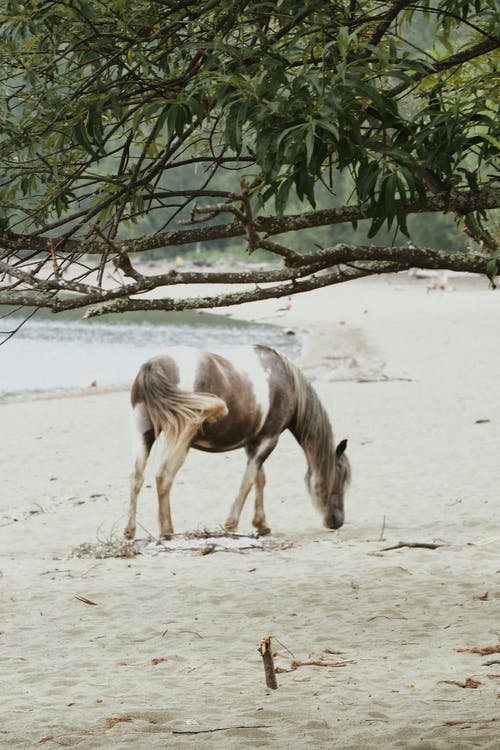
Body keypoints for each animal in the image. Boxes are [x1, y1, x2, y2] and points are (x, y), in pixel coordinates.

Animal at [127, 344, 350, 544]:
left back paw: (130, 531)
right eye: (340, 476)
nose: (337, 521)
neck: (287, 381)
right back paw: (167, 531)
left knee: (136, 477)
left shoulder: (253, 443)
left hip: (144, 434)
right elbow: (248, 481)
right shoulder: (268, 440)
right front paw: (231, 524)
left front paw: (261, 524)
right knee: (164, 476)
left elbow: (259, 479)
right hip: (181, 440)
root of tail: (153, 365)